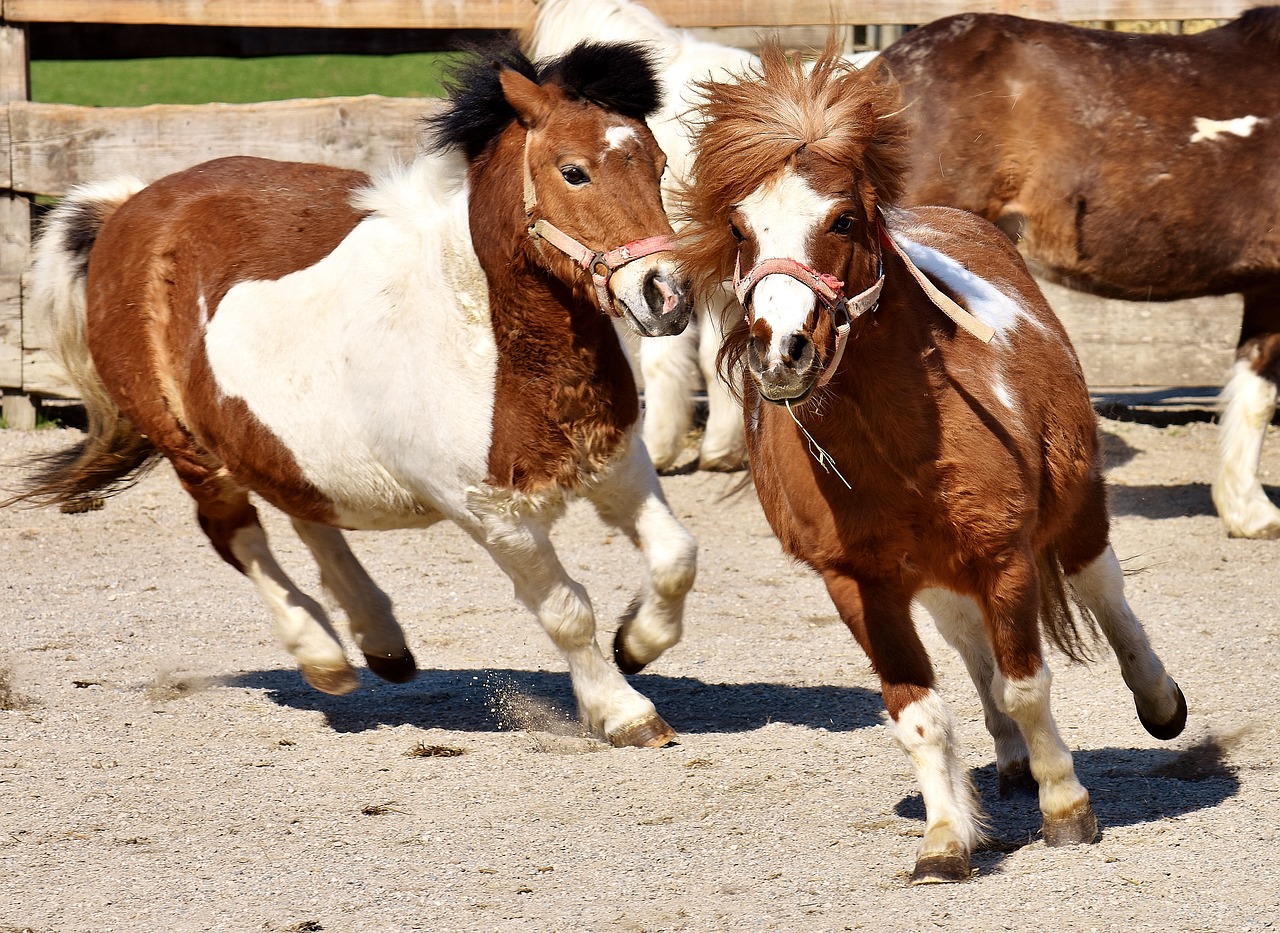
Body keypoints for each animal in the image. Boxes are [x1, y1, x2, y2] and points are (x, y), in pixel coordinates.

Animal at [5, 43, 696, 747]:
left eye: (659, 162)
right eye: (573, 171)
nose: (667, 295)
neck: (490, 336)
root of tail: (126, 208)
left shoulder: (617, 461)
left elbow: (676, 556)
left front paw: (638, 643)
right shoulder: (489, 513)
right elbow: (566, 610)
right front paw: (625, 712)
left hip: (273, 438)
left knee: (306, 512)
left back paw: (380, 641)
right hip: (190, 448)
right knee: (237, 534)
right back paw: (322, 656)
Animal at [680, 43, 1187, 885]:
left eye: (843, 219)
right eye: (738, 225)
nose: (782, 350)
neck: (900, 445)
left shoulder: (1005, 554)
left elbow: (1026, 684)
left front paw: (1067, 808)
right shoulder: (858, 582)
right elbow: (920, 713)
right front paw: (947, 837)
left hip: (1077, 508)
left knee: (1102, 589)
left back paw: (1158, 701)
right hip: (940, 576)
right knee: (970, 646)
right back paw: (1009, 764)